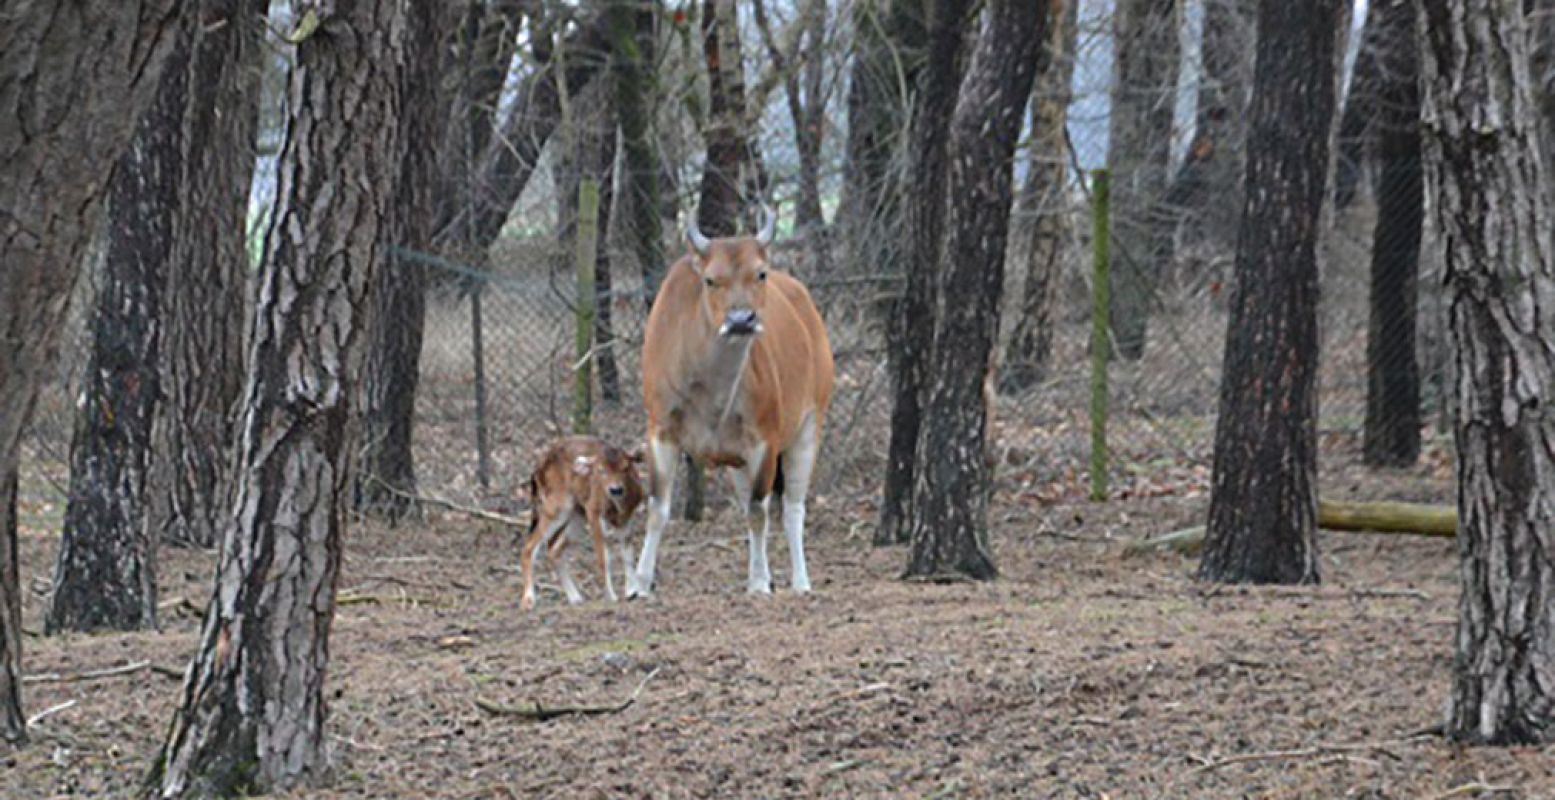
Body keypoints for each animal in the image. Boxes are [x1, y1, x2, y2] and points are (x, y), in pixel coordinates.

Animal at [522, 432, 643, 607]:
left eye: (626, 467)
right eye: (600, 470)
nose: (615, 489)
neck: (617, 506)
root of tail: (538, 468)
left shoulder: (627, 516)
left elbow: (628, 553)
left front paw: (632, 592)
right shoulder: (593, 510)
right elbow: (603, 557)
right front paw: (611, 596)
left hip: (577, 514)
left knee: (554, 549)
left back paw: (575, 597)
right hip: (558, 507)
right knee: (530, 545)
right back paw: (528, 600)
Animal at [628, 208, 833, 594]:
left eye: (760, 273)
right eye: (711, 280)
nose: (741, 320)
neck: (709, 393)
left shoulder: (765, 441)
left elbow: (759, 511)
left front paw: (758, 581)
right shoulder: (660, 432)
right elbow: (657, 508)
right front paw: (640, 583)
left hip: (808, 428)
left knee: (793, 508)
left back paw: (800, 580)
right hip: (737, 462)